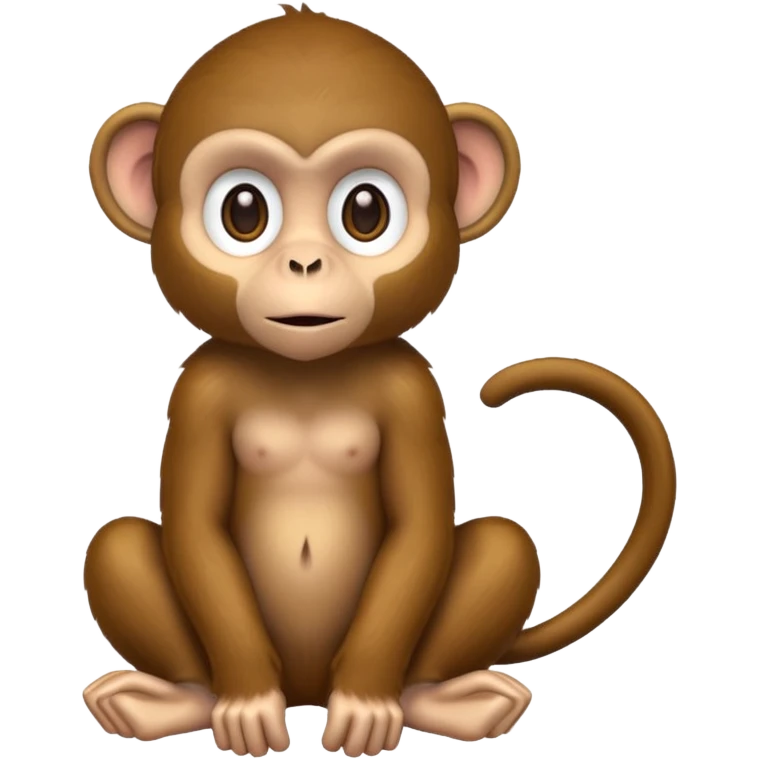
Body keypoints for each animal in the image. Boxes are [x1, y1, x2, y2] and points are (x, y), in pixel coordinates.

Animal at [82, 5, 677, 758]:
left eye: (365, 211)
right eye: (244, 211)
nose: (305, 263)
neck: (306, 373)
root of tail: (306, 693)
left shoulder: (408, 387)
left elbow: (419, 524)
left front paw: (366, 702)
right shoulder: (201, 388)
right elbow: (196, 525)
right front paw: (246, 701)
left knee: (503, 548)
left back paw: (438, 698)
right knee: (115, 546)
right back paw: (180, 698)